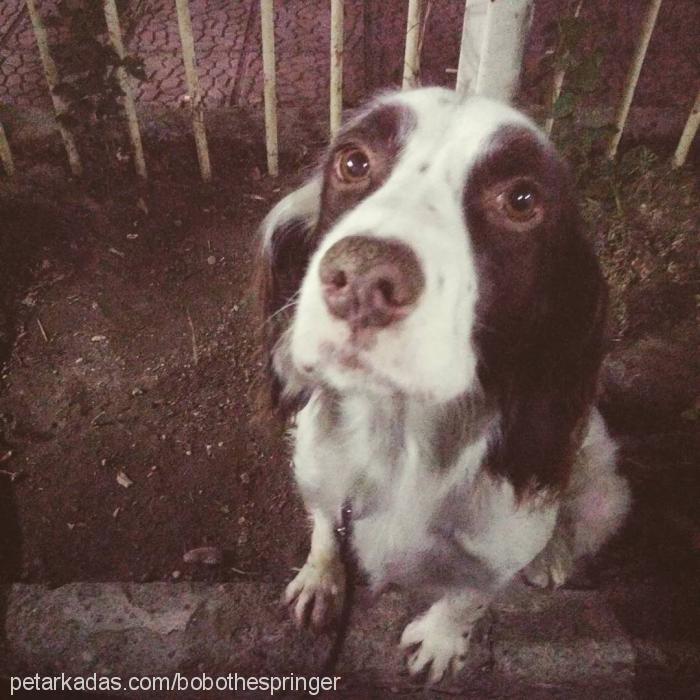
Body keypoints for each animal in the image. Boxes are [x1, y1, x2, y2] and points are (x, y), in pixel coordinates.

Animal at [254, 87, 632, 684]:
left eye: (521, 199)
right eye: (353, 162)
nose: (362, 279)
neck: (398, 441)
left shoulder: (495, 555)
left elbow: (467, 598)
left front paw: (438, 641)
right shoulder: (322, 481)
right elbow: (324, 530)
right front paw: (319, 580)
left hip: (598, 479)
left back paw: (552, 556)